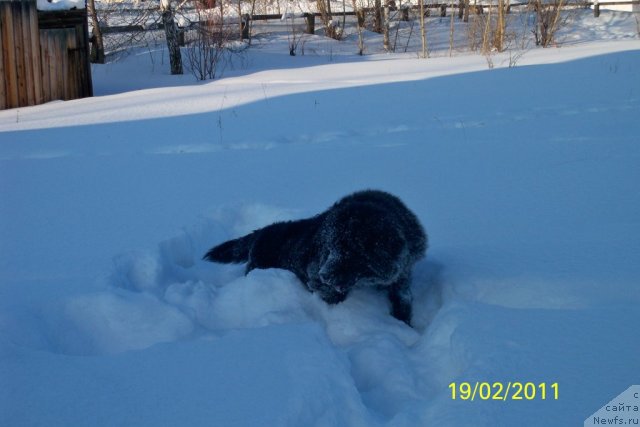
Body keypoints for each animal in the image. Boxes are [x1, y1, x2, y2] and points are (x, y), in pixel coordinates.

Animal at [202, 191, 428, 324]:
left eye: (351, 251)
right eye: (330, 247)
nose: (324, 275)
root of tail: (260, 232)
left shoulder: (402, 276)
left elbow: (403, 302)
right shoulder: (317, 280)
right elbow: (333, 296)